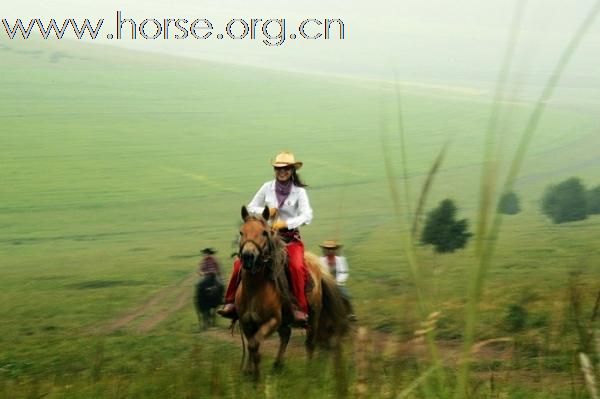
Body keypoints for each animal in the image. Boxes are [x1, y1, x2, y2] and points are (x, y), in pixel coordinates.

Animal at [236, 206, 350, 382]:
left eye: (264, 232)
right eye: (242, 232)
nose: (248, 256)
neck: (255, 289)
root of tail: (318, 267)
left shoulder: (273, 320)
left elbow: (254, 345)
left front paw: (257, 379)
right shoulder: (246, 322)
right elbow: (251, 346)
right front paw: (250, 373)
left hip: (313, 315)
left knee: (310, 342)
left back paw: (308, 371)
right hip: (287, 318)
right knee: (286, 335)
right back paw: (277, 365)